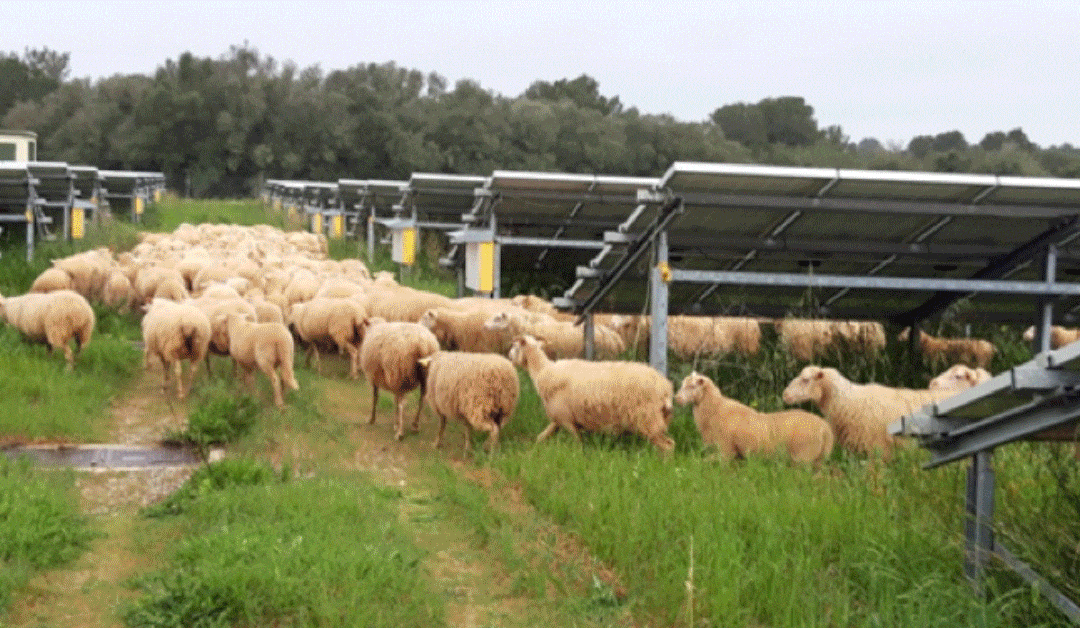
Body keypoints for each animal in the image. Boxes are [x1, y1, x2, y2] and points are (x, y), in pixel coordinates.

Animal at [507, 332, 673, 449]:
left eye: (515, 347)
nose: (509, 358)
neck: (543, 371)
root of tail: (665, 388)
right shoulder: (558, 418)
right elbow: (542, 436)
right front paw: (534, 448)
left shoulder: (566, 419)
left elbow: (578, 443)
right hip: (657, 419)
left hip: (648, 418)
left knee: (668, 445)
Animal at [673, 369, 833, 462]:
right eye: (682, 384)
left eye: (692, 386)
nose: (677, 399)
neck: (716, 409)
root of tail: (826, 429)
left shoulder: (726, 450)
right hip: (817, 459)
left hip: (803, 457)